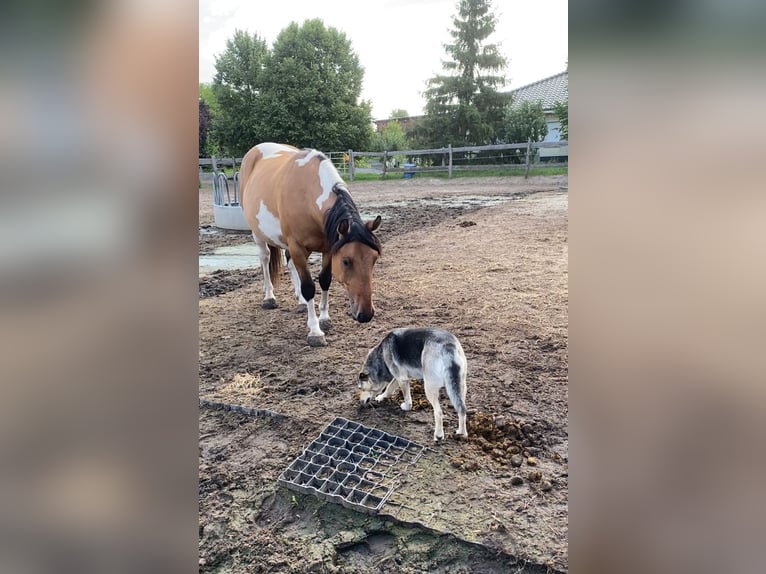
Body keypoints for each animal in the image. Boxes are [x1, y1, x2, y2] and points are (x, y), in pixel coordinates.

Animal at [240, 142, 382, 347]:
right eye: (346, 261)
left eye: (374, 259)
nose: (366, 314)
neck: (306, 195)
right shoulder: (298, 248)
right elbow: (309, 287)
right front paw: (315, 331)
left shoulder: (329, 248)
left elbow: (324, 280)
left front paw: (324, 318)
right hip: (257, 233)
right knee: (265, 259)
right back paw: (269, 297)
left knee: (289, 263)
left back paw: (300, 301)